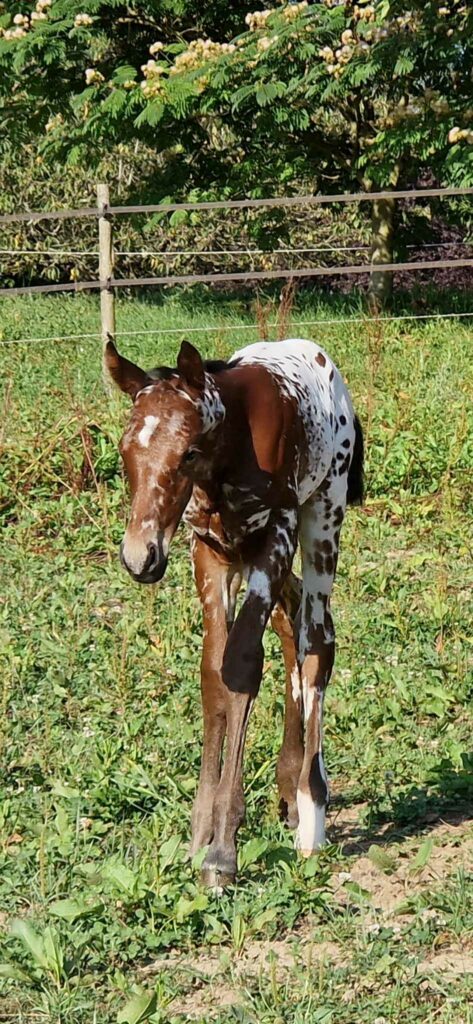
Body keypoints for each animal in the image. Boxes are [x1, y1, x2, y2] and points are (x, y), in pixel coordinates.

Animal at [104, 335, 364, 887]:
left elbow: (242, 663)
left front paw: (222, 852)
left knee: (316, 639)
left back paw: (311, 811)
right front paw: (202, 832)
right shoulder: (209, 552)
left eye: (187, 451)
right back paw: (288, 790)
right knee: (290, 623)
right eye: (124, 449)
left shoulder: (276, 534)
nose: (140, 557)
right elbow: (213, 672)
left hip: (322, 517)